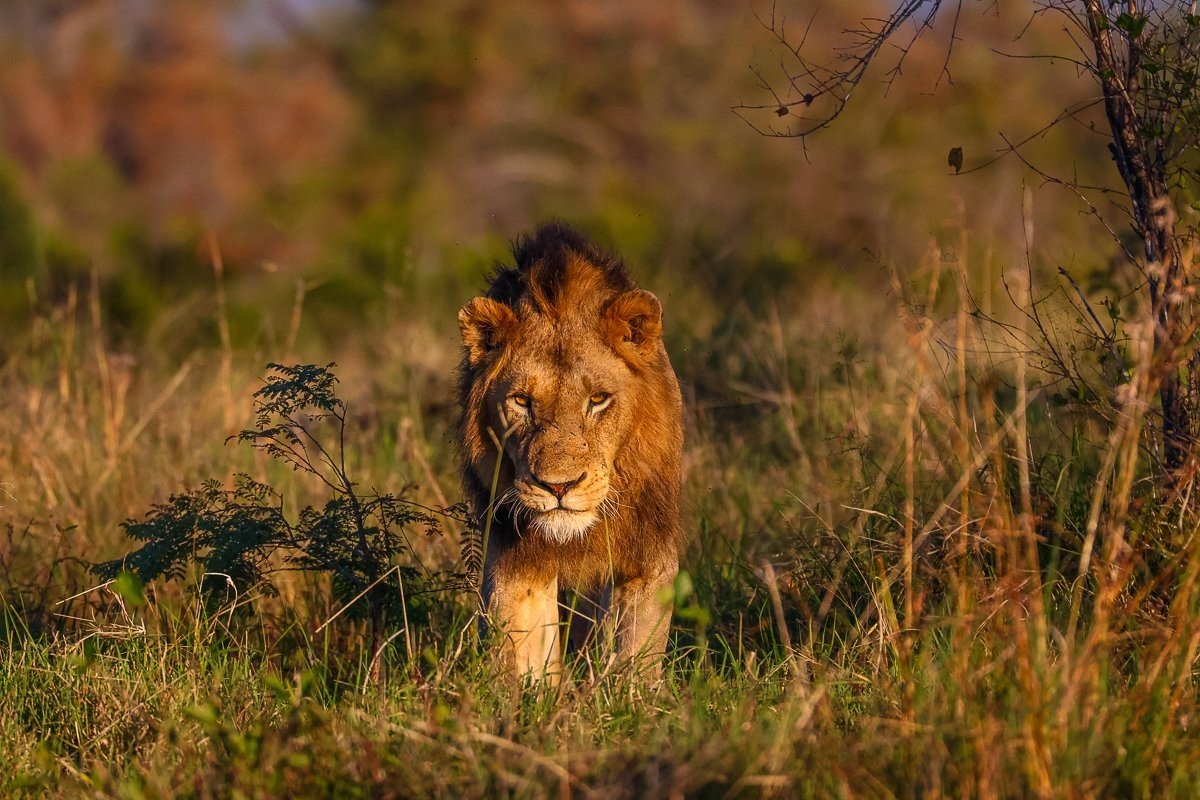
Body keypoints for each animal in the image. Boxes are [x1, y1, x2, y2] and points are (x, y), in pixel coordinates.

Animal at [456, 222, 685, 681]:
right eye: (522, 401)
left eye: (598, 399)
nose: (558, 487)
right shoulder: (513, 561)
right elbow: (520, 657)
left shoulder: (648, 555)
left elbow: (634, 656)